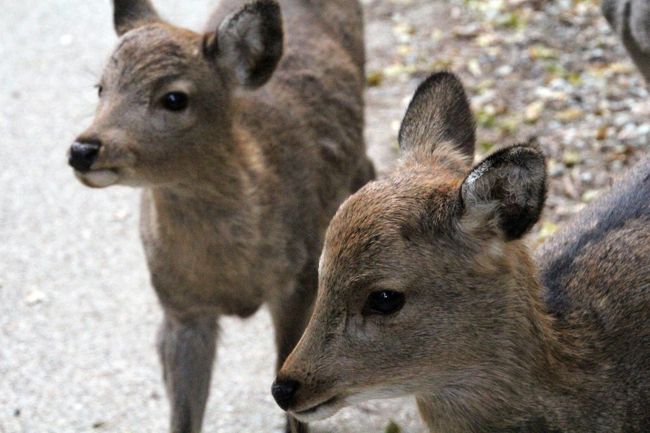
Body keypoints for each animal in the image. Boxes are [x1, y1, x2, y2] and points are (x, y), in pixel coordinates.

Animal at [66, 1, 374, 432]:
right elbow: (183, 413)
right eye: (101, 88)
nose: (84, 149)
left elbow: (291, 394)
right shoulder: (179, 307)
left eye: (175, 98)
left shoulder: (299, 279)